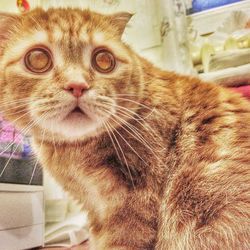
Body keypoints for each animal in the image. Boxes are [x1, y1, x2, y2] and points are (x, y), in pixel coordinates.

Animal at [0, 7, 249, 250]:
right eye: (38, 58)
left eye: (104, 60)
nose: (77, 85)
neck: (76, 153)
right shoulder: (96, 212)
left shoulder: (132, 208)